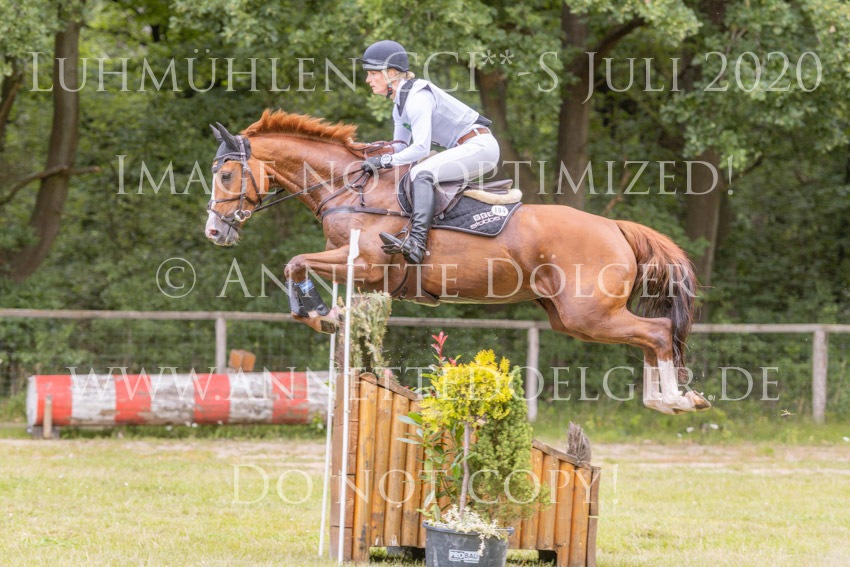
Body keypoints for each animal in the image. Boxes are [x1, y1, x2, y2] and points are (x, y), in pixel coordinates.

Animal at [204, 110, 710, 415]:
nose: (214, 232)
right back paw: (667, 400)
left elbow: (294, 262)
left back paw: (676, 401)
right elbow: (317, 283)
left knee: (657, 332)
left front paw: (318, 313)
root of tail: (616, 227)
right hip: (572, 318)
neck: (349, 189)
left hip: (589, 313)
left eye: (226, 175)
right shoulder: (365, 279)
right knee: (650, 338)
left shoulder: (365, 265)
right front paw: (327, 317)